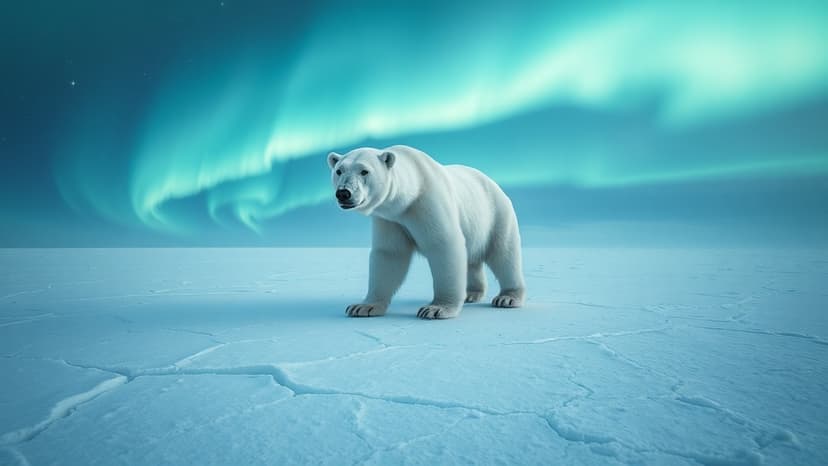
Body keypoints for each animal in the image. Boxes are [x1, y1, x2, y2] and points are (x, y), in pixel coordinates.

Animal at [327, 145, 525, 319]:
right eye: (339, 171)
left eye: (364, 171)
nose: (343, 193)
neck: (410, 193)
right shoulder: (390, 220)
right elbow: (389, 255)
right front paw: (363, 307)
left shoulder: (428, 203)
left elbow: (444, 245)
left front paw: (436, 309)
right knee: (472, 259)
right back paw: (471, 294)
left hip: (497, 215)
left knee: (504, 255)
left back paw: (508, 297)